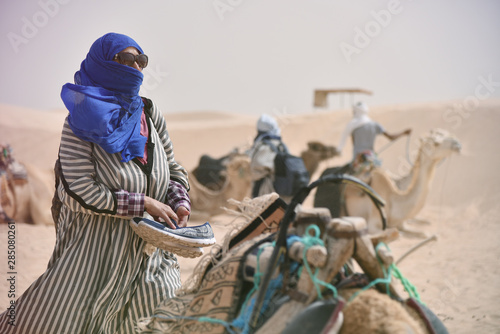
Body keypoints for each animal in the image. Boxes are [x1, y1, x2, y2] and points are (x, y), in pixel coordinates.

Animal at [314, 128, 462, 237]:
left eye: (448, 134)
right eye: (435, 143)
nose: (457, 144)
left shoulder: (402, 222)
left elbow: (420, 233)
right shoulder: (374, 223)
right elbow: (397, 234)